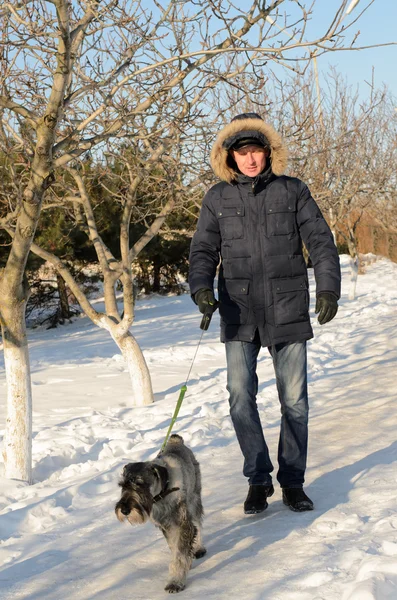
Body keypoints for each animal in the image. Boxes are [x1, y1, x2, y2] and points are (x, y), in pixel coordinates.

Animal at [114, 434, 206, 592]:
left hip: (194, 499)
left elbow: (179, 553)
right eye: (122, 486)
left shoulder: (182, 524)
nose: (125, 510)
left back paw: (199, 548)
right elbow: (174, 547)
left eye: (140, 484)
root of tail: (176, 441)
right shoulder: (166, 526)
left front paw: (175, 581)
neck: (162, 494)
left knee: (198, 523)